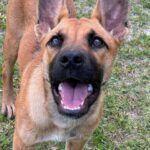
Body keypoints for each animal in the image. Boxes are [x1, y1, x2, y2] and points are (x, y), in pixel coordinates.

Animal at [0, 0, 127, 149]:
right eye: (55, 40)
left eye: (97, 42)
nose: (71, 59)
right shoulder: (22, 141)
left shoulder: (77, 141)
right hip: (12, 41)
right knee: (6, 71)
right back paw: (8, 102)